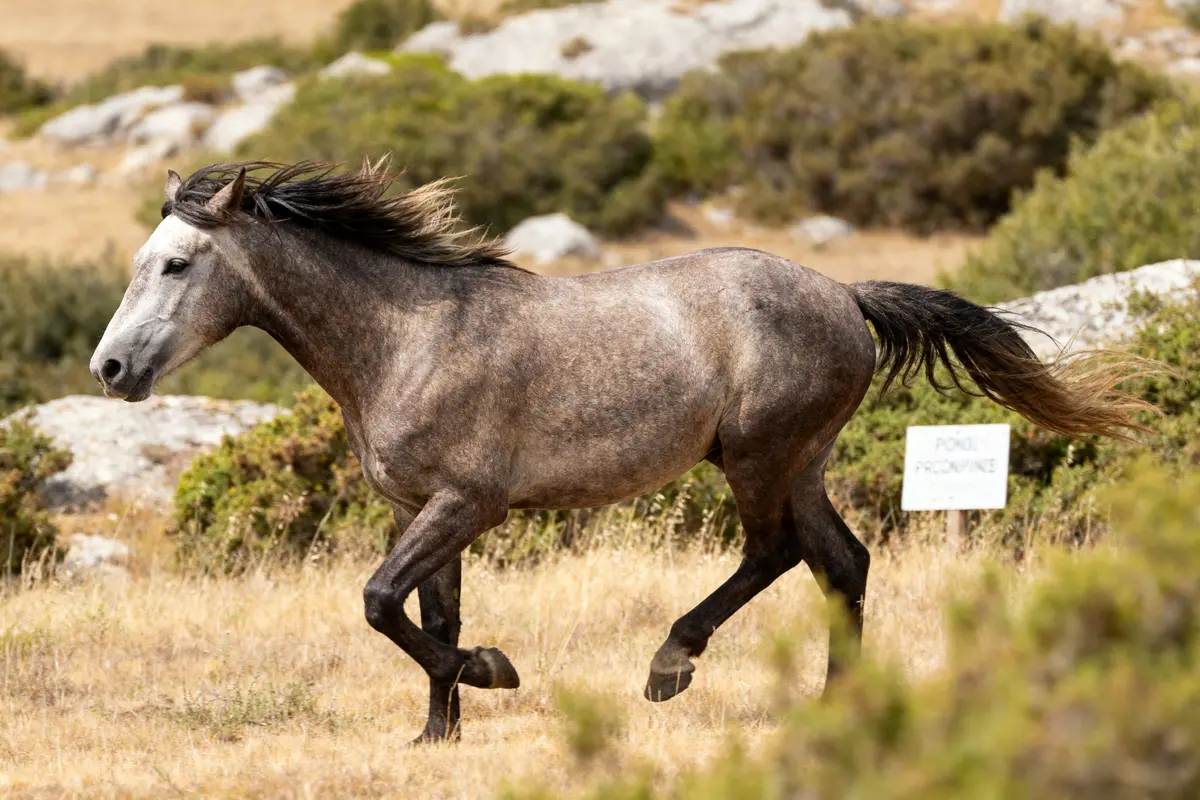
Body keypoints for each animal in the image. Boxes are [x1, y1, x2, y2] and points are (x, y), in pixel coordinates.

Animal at [90, 161, 1147, 743]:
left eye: (176, 265)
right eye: (139, 263)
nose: (110, 367)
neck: (407, 335)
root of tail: (846, 296)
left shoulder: (465, 504)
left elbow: (382, 602)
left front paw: (493, 671)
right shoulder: (420, 508)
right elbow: (430, 613)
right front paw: (440, 733)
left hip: (759, 459)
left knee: (777, 554)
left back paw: (671, 666)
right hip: (797, 463)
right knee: (842, 564)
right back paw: (837, 708)